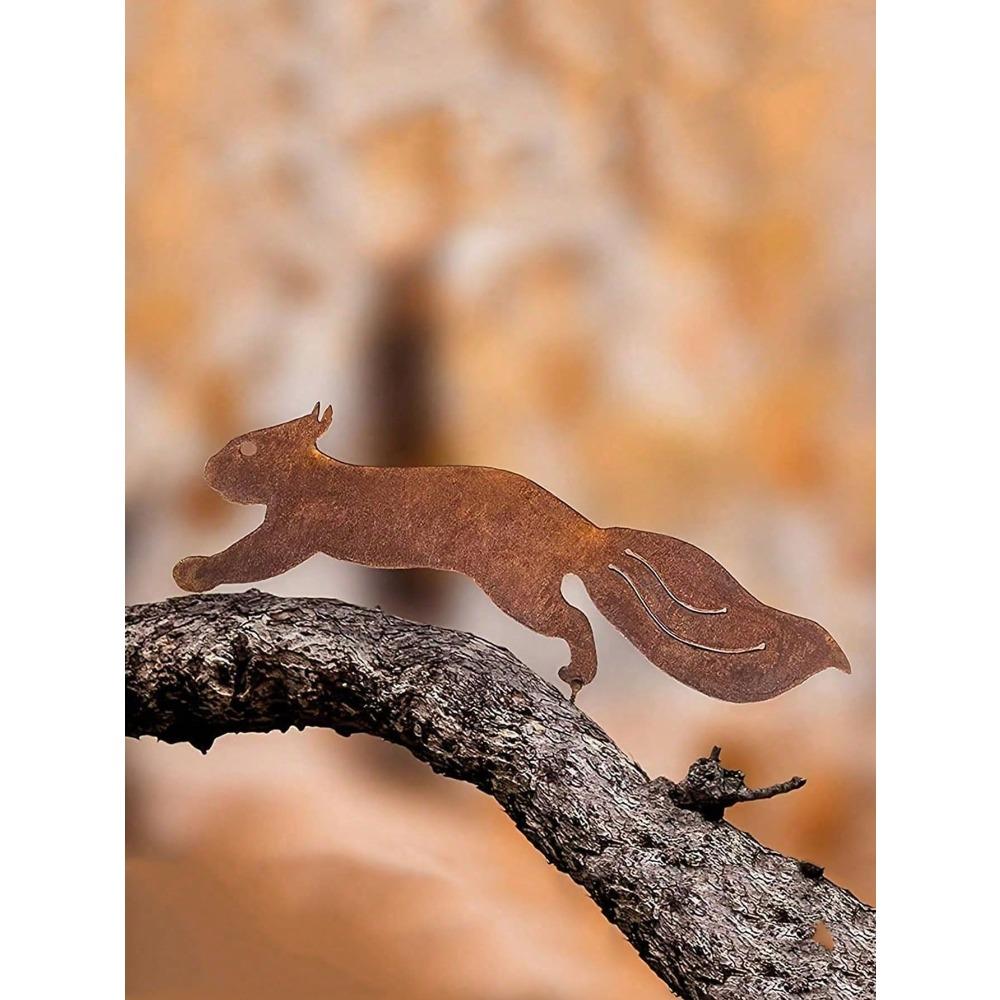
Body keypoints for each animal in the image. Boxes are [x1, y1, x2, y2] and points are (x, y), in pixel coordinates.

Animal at [174, 404, 852, 702]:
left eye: (245, 449)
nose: (206, 469)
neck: (314, 473)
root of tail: (585, 532)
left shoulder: (293, 528)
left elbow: (248, 557)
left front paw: (191, 570)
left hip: (516, 585)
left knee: (574, 620)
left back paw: (575, 676)